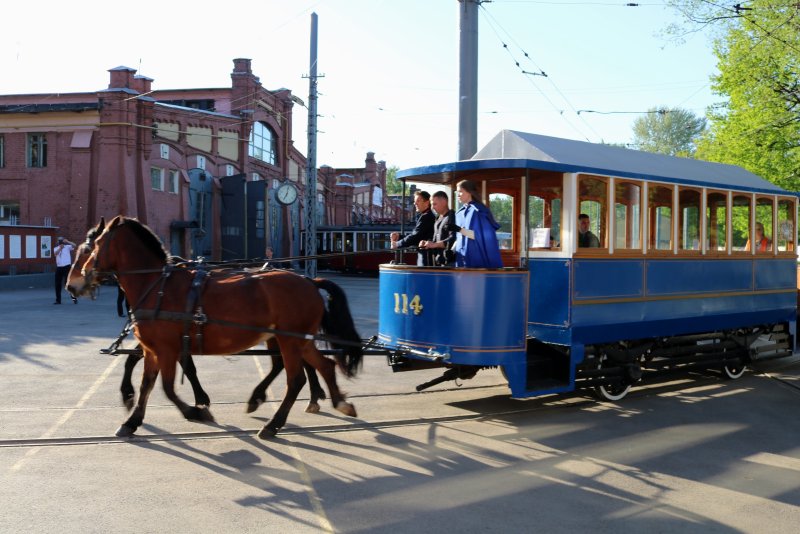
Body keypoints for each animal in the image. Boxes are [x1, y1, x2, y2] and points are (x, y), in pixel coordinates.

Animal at [69, 217, 362, 440]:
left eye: (92, 246)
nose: (74, 284)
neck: (157, 285)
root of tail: (310, 281)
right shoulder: (153, 350)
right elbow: (147, 385)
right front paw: (132, 420)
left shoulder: (166, 349)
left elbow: (168, 387)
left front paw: (196, 410)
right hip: (298, 339)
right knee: (324, 365)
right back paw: (339, 402)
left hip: (289, 340)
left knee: (296, 379)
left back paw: (273, 423)